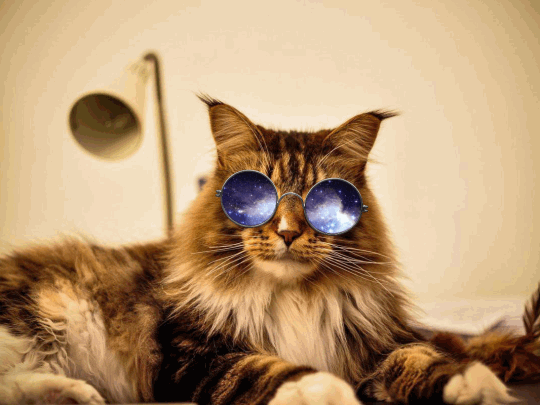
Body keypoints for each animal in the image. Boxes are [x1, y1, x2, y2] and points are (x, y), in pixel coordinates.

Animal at [0, 96, 539, 405]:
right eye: (255, 198)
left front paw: (472, 384)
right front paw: (325, 389)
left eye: (326, 203)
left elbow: (422, 357)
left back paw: (76, 395)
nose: (286, 231)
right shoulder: (192, 353)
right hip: (33, 324)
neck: (293, 298)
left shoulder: (376, 341)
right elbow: (263, 367)